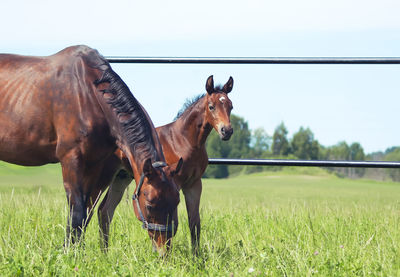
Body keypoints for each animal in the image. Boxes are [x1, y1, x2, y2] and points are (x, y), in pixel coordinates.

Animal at [0, 45, 181, 250]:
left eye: (177, 201)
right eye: (149, 204)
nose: (164, 248)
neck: (88, 94)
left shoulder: (95, 164)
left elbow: (86, 211)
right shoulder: (71, 160)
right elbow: (77, 211)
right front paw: (69, 251)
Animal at [108, 75, 234, 252]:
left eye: (231, 106)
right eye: (211, 106)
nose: (226, 131)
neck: (184, 140)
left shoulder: (194, 184)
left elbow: (194, 223)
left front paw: (196, 257)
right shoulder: (174, 183)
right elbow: (172, 223)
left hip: (121, 178)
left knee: (104, 210)